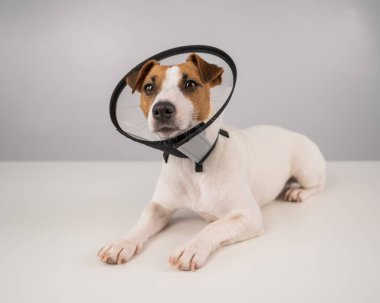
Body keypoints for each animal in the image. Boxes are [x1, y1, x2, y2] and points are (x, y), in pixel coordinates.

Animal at [96, 53, 326, 272]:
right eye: (149, 88)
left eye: (190, 84)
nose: (161, 109)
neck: (193, 162)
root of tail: (290, 131)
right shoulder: (160, 205)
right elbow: (142, 221)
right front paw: (122, 243)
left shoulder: (248, 216)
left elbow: (213, 227)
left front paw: (191, 248)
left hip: (306, 169)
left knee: (318, 185)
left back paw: (298, 192)